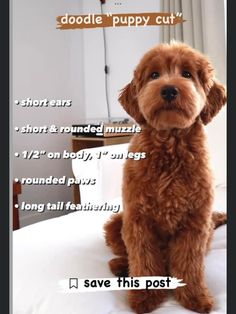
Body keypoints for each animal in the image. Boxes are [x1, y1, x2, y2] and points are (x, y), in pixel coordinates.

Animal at [104, 42, 226, 314]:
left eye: (187, 74)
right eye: (154, 75)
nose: (169, 90)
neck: (170, 145)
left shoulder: (195, 223)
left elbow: (189, 265)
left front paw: (194, 297)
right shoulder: (138, 219)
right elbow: (143, 260)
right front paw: (145, 297)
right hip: (116, 223)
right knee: (127, 253)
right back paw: (120, 266)